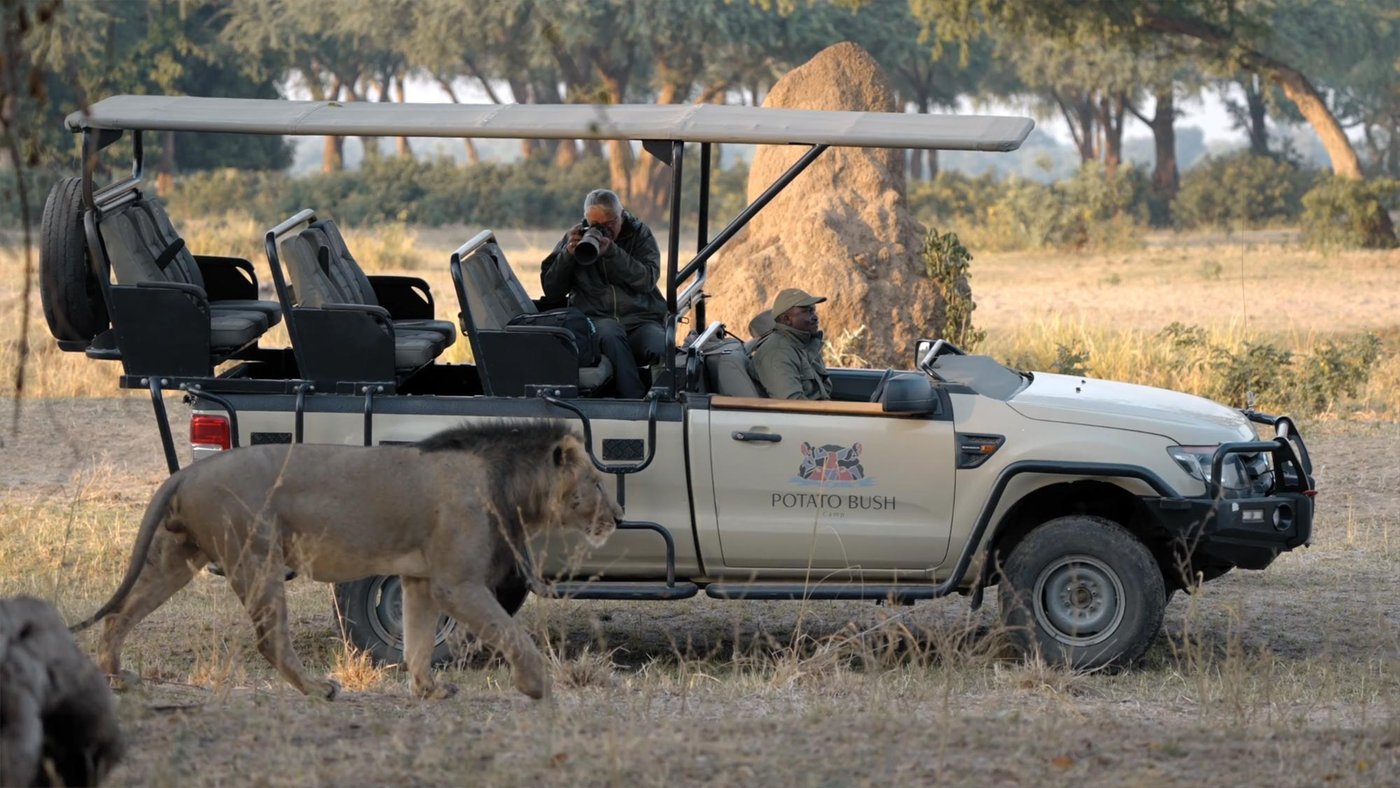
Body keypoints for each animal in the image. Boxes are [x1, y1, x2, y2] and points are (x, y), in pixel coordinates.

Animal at [71, 420, 621, 702]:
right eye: (596, 482)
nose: (617, 516)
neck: (510, 483)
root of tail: (185, 473)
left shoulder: (420, 580)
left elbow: (418, 642)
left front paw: (428, 689)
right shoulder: (457, 582)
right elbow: (513, 634)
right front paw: (537, 686)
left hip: (175, 559)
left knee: (120, 615)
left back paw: (118, 677)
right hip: (256, 555)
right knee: (270, 640)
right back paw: (319, 690)